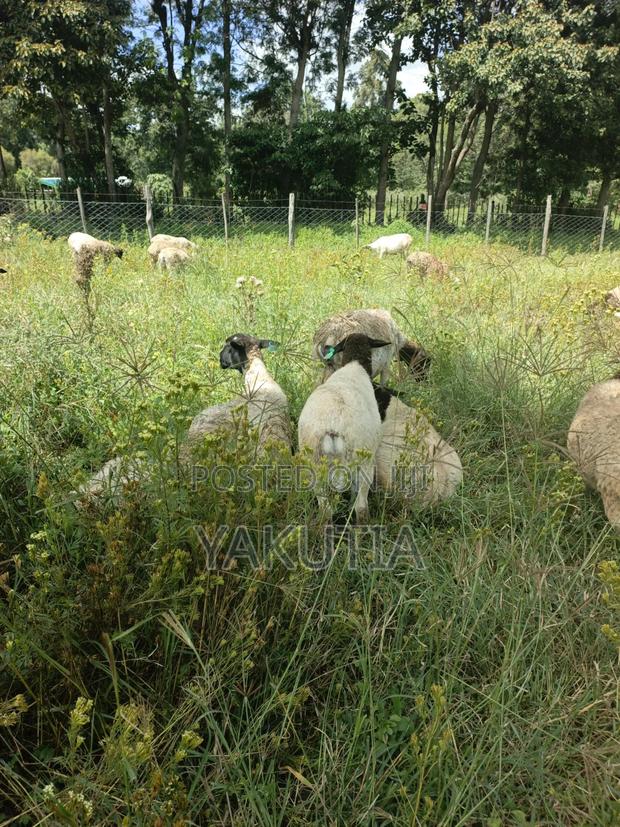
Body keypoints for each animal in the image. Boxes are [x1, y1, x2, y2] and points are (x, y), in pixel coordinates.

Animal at [298, 333, 390, 523]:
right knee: (360, 507)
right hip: (364, 461)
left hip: (313, 463)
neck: (354, 365)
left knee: (325, 509)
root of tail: (333, 430)